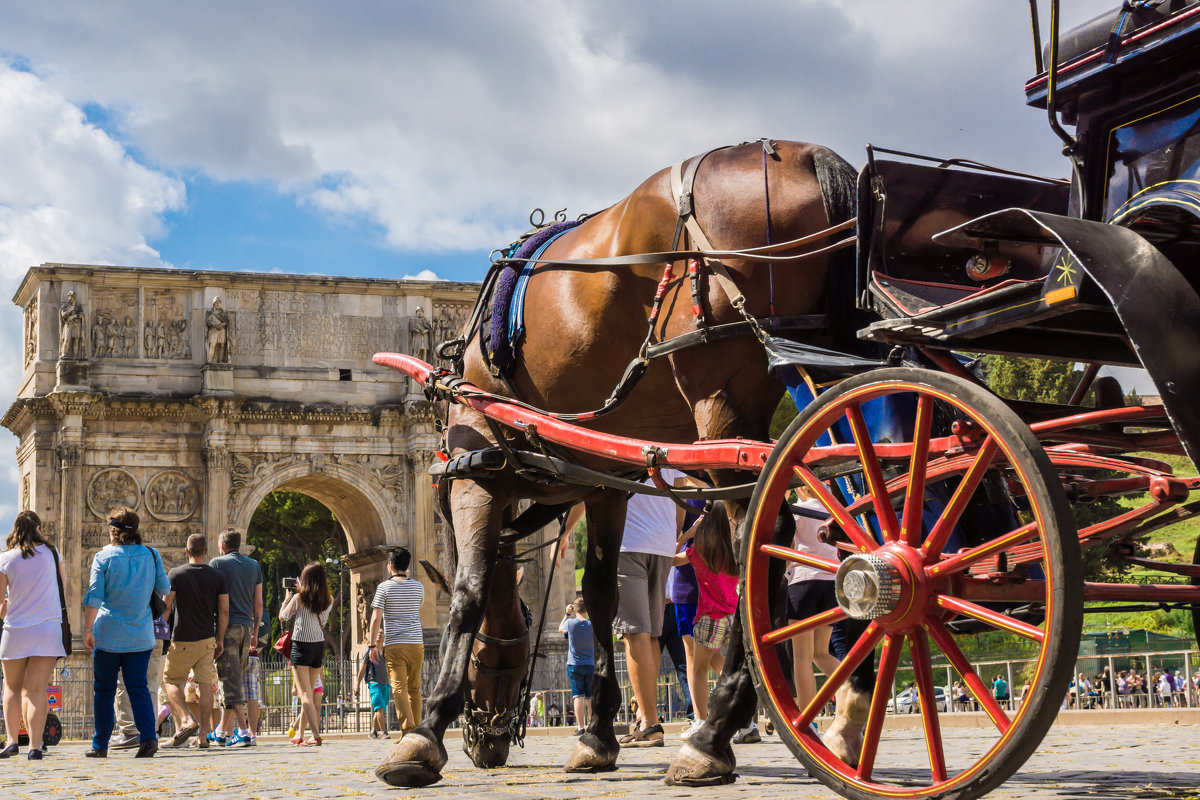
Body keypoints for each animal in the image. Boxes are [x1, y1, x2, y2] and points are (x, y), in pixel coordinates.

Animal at [374, 139, 864, 786]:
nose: (486, 743)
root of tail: (805, 155)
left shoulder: (478, 474)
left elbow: (468, 593)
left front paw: (425, 731)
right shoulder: (607, 486)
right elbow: (601, 595)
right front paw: (597, 736)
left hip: (722, 399)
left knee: (762, 533)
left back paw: (713, 733)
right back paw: (847, 708)